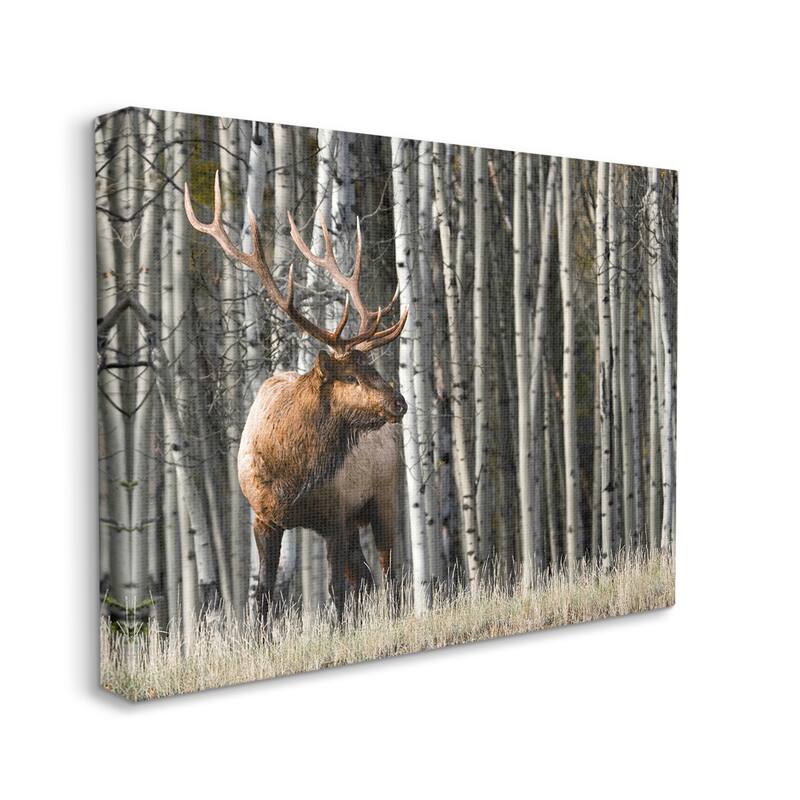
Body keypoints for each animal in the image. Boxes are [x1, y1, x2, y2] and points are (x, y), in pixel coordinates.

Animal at [184, 173, 409, 622]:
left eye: (374, 368)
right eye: (352, 377)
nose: (399, 402)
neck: (293, 475)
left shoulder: (335, 514)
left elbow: (336, 590)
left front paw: (341, 630)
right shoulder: (264, 517)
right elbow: (265, 595)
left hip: (385, 499)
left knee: (389, 574)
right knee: (367, 577)